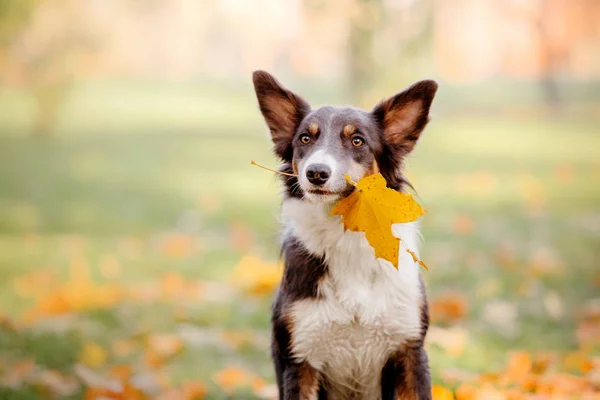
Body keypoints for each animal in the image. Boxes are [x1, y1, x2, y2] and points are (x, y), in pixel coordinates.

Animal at [251, 70, 438, 398]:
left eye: (357, 140)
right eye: (305, 138)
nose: (316, 173)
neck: (346, 233)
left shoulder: (410, 351)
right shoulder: (300, 359)